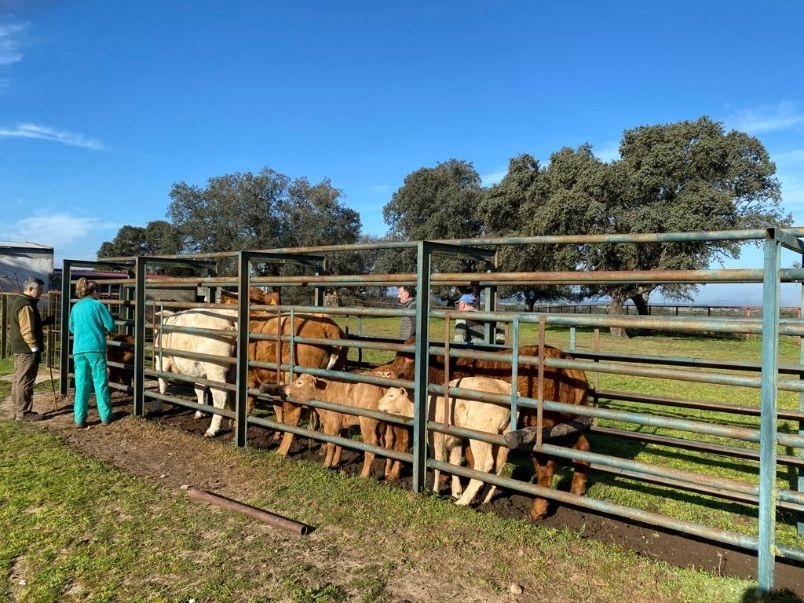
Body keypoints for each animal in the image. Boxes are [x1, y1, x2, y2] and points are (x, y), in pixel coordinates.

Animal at [378, 380, 516, 508]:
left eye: (391, 395)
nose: (378, 404)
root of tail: (506, 388)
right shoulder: (455, 439)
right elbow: (454, 462)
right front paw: (456, 491)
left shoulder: (435, 436)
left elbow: (437, 461)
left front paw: (434, 490)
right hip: (504, 436)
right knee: (498, 467)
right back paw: (484, 499)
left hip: (481, 434)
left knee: (484, 464)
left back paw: (463, 501)